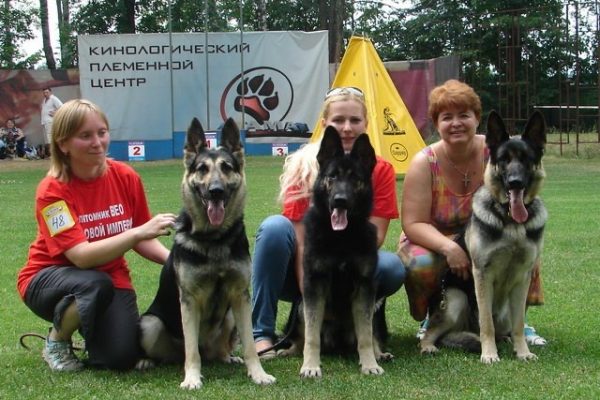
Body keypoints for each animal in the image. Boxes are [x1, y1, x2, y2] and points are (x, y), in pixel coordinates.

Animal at [138, 117, 275, 389]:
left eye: (226, 167)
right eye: (202, 168)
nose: (216, 191)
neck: (214, 239)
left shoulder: (240, 296)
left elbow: (251, 346)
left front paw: (258, 373)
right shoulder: (189, 301)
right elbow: (192, 351)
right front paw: (192, 377)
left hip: (230, 315)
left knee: (219, 350)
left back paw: (227, 357)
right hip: (149, 323)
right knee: (178, 352)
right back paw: (147, 361)